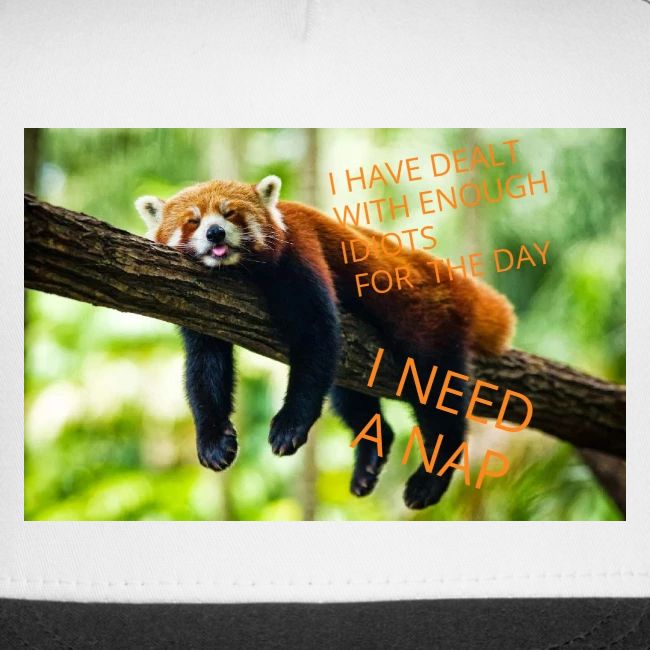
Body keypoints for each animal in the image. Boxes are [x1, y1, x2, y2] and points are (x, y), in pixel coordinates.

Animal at [136, 175, 515, 509]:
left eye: (230, 214)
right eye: (193, 221)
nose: (215, 232)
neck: (238, 271)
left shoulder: (300, 252)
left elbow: (316, 337)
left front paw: (290, 425)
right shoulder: (200, 304)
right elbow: (205, 367)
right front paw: (213, 440)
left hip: (427, 322)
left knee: (436, 391)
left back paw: (431, 477)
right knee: (348, 395)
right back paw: (370, 458)